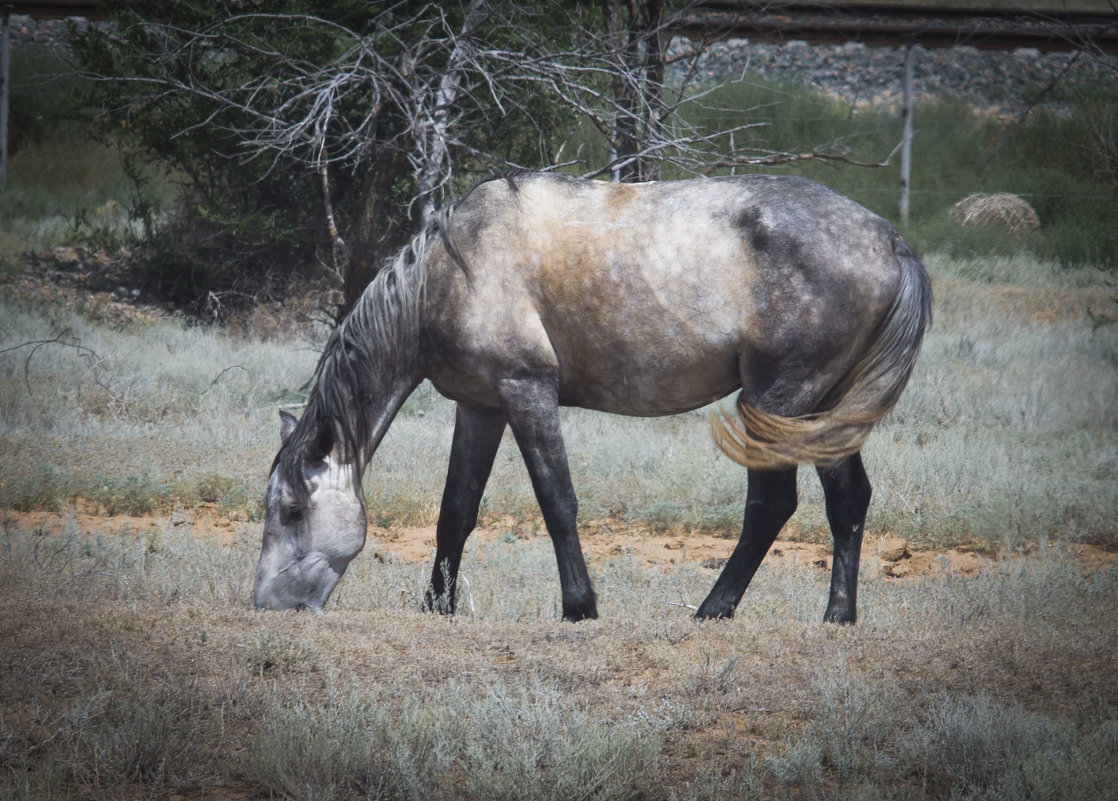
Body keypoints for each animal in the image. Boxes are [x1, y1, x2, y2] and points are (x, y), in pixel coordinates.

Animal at [253, 172, 934, 622]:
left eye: (292, 511)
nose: (266, 605)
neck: (453, 272)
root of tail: (889, 239)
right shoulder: (480, 407)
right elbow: (456, 511)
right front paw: (437, 605)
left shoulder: (527, 392)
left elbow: (557, 501)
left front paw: (579, 606)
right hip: (826, 408)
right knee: (848, 500)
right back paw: (838, 616)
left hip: (781, 401)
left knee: (771, 506)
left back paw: (713, 609)